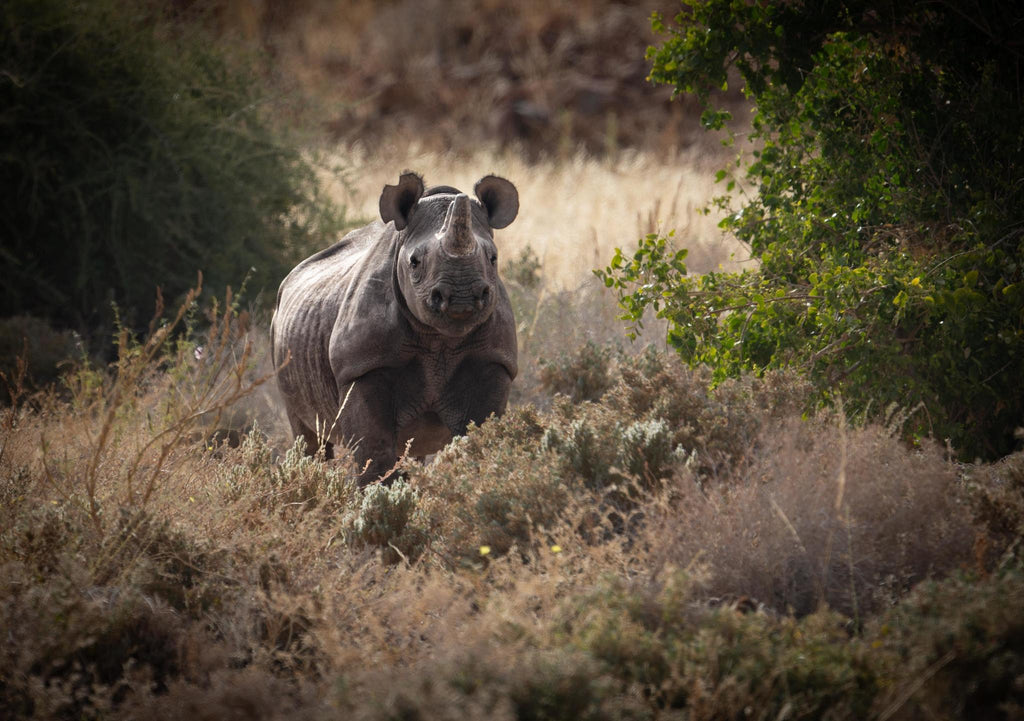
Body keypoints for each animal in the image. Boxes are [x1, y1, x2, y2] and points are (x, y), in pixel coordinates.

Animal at [271, 172, 519, 483]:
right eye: (414, 262)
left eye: (493, 258)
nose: (462, 297)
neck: (440, 340)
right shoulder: (362, 366)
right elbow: (375, 452)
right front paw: (379, 493)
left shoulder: (495, 359)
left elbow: (479, 441)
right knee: (307, 434)